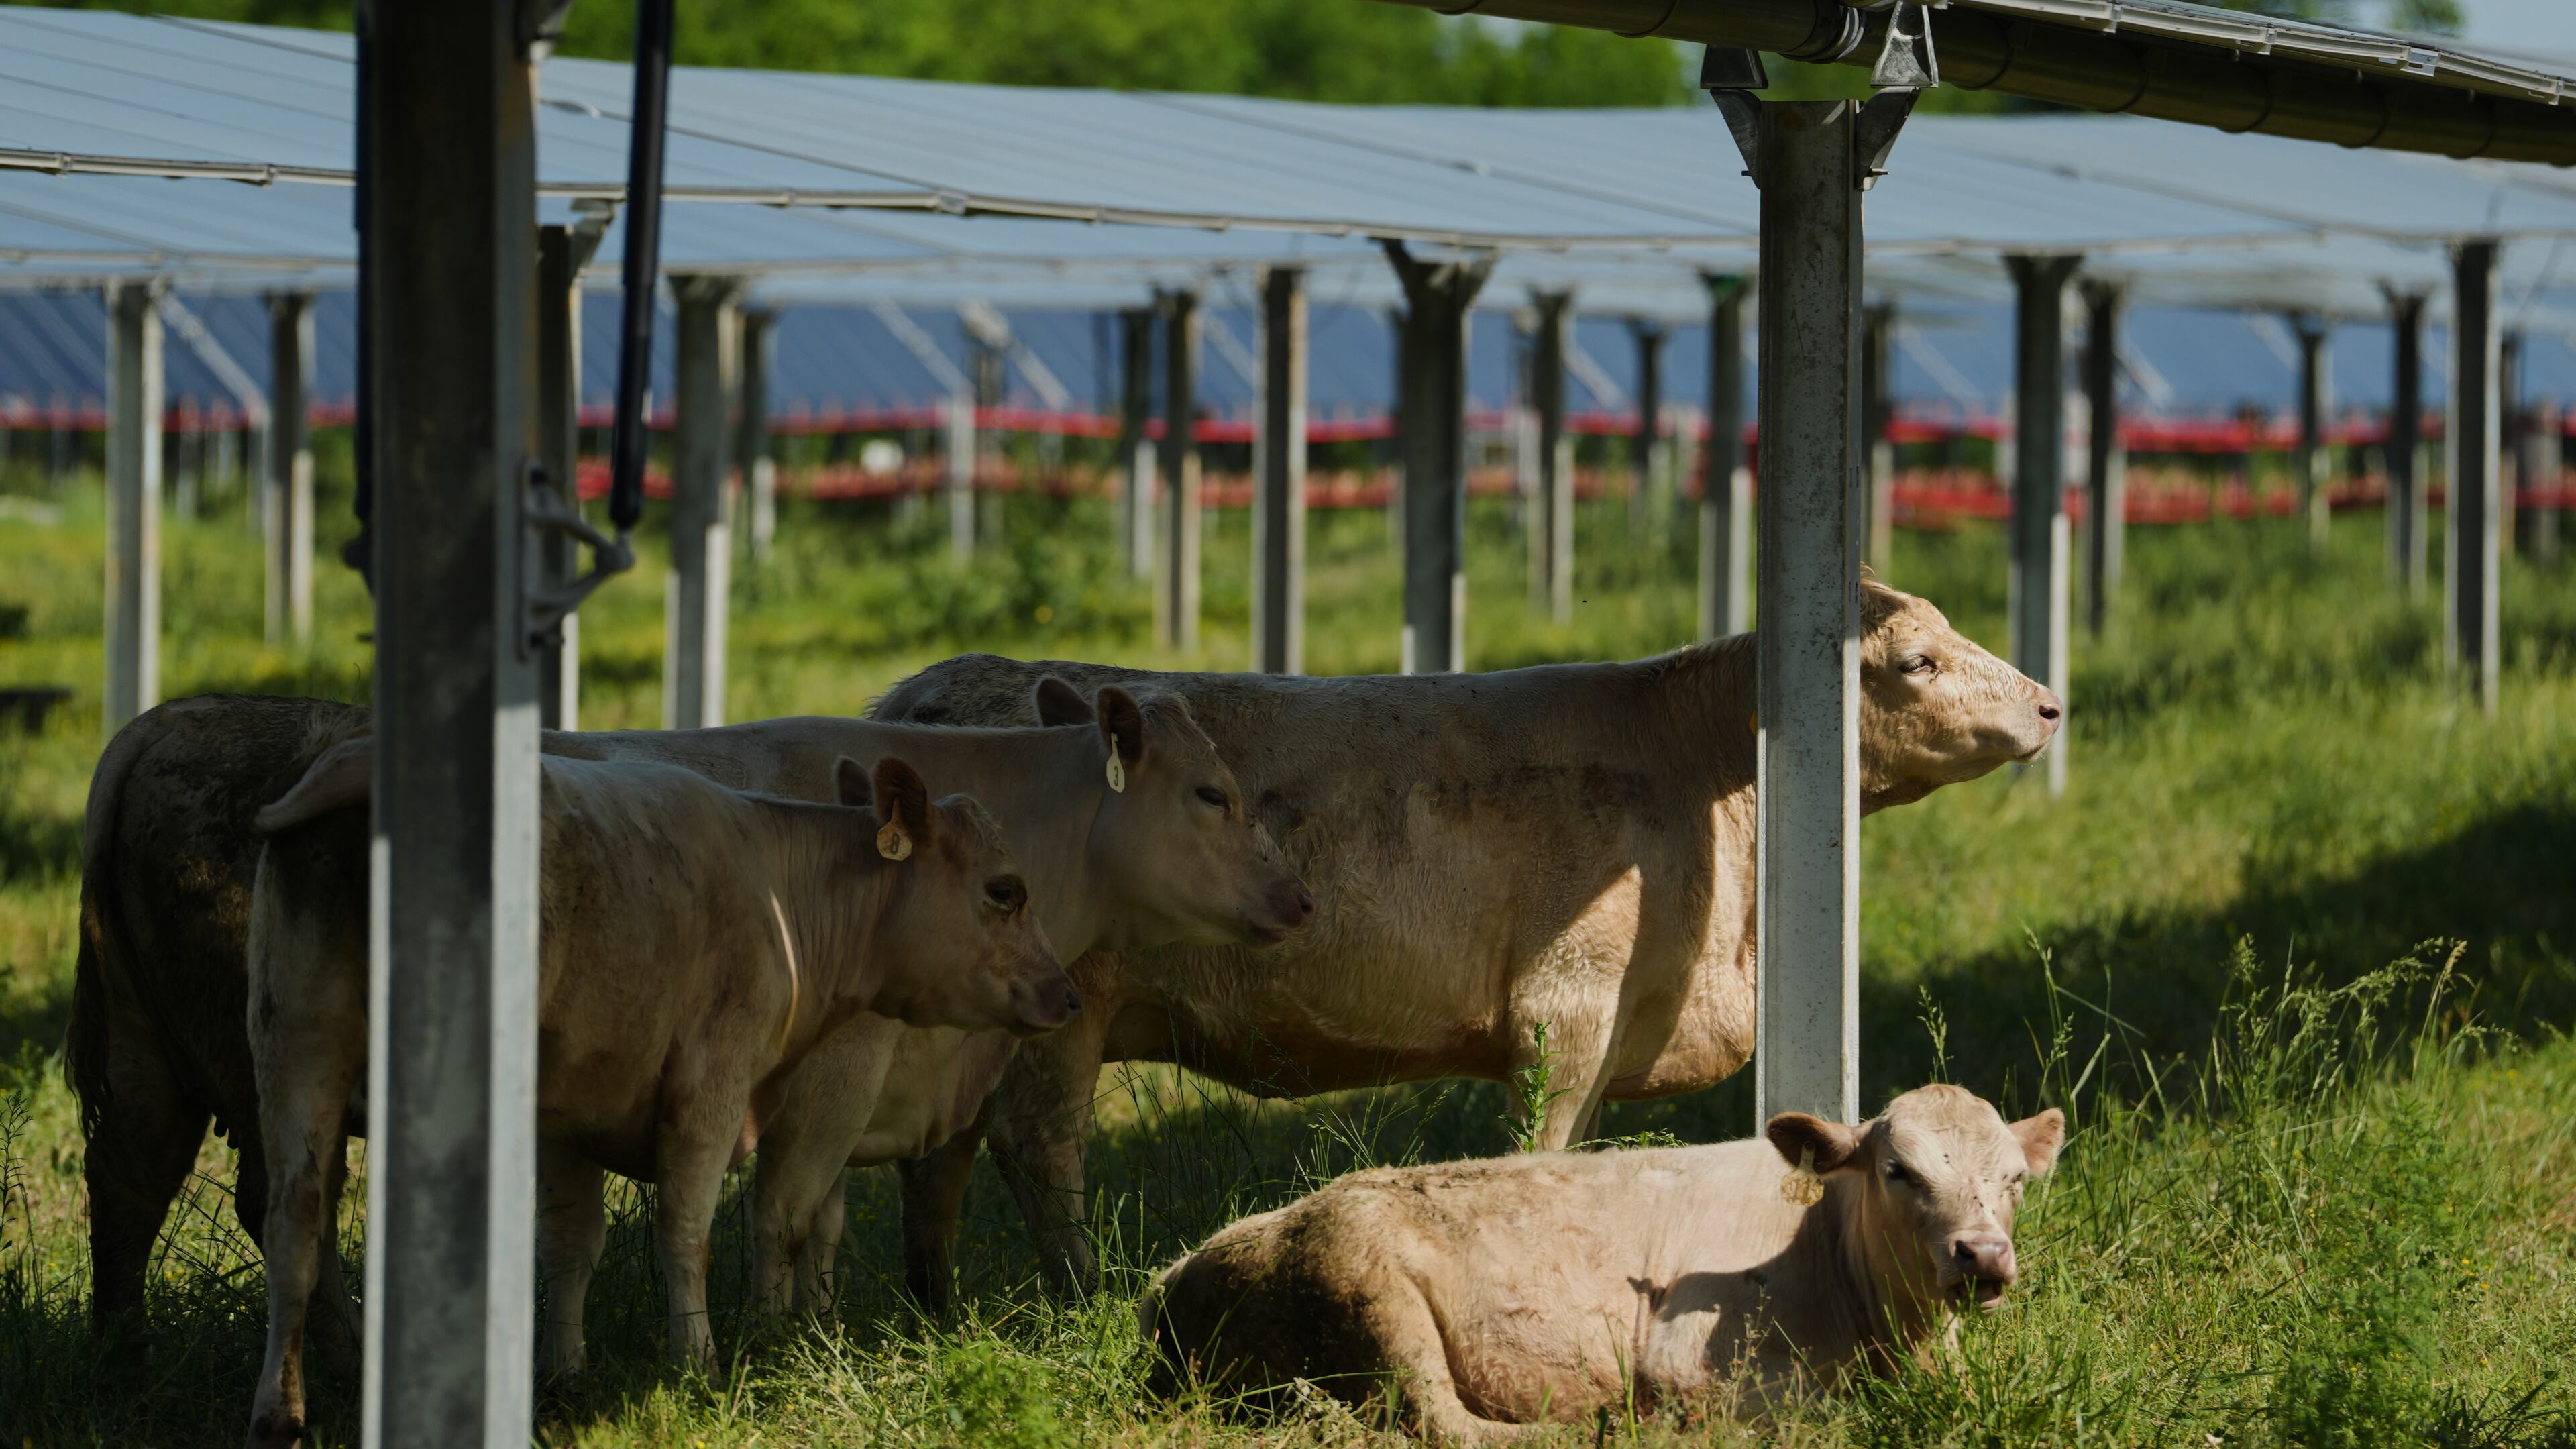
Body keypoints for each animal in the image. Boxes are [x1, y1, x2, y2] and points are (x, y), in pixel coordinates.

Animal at [65, 685, 1306, 1339]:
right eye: (1211, 793)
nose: (1298, 896)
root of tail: (169, 720)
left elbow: (824, 1222)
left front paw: (816, 1329)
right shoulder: (830, 1072)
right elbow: (782, 1210)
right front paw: (777, 1345)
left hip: (151, 1061)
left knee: (133, 1195)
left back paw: (126, 1356)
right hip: (259, 1062)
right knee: (279, 1205)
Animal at [243, 744, 1068, 1446]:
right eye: (1006, 891)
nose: (1068, 991)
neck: (782, 891)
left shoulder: (566, 1118)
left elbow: (571, 1244)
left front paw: (567, 1372)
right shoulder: (712, 1085)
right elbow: (701, 1228)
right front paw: (710, 1358)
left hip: (297, 1041)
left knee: (296, 1218)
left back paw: (280, 1410)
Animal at [871, 579, 2062, 1296]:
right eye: (1917, 661)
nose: (2051, 704)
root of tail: (929, 690)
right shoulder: (1566, 1006)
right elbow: (1544, 1149)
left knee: (942, 1155)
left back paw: (939, 1305)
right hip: (1058, 1012)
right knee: (1035, 1144)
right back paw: (1083, 1290)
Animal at [1140, 1085, 2067, 1443]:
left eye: (2016, 1182)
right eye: (1898, 1170)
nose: (1982, 1254)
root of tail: (1177, 1271)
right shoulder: (1690, 1362)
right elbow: (1818, 1416)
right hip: (1372, 1293)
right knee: (1451, 1426)